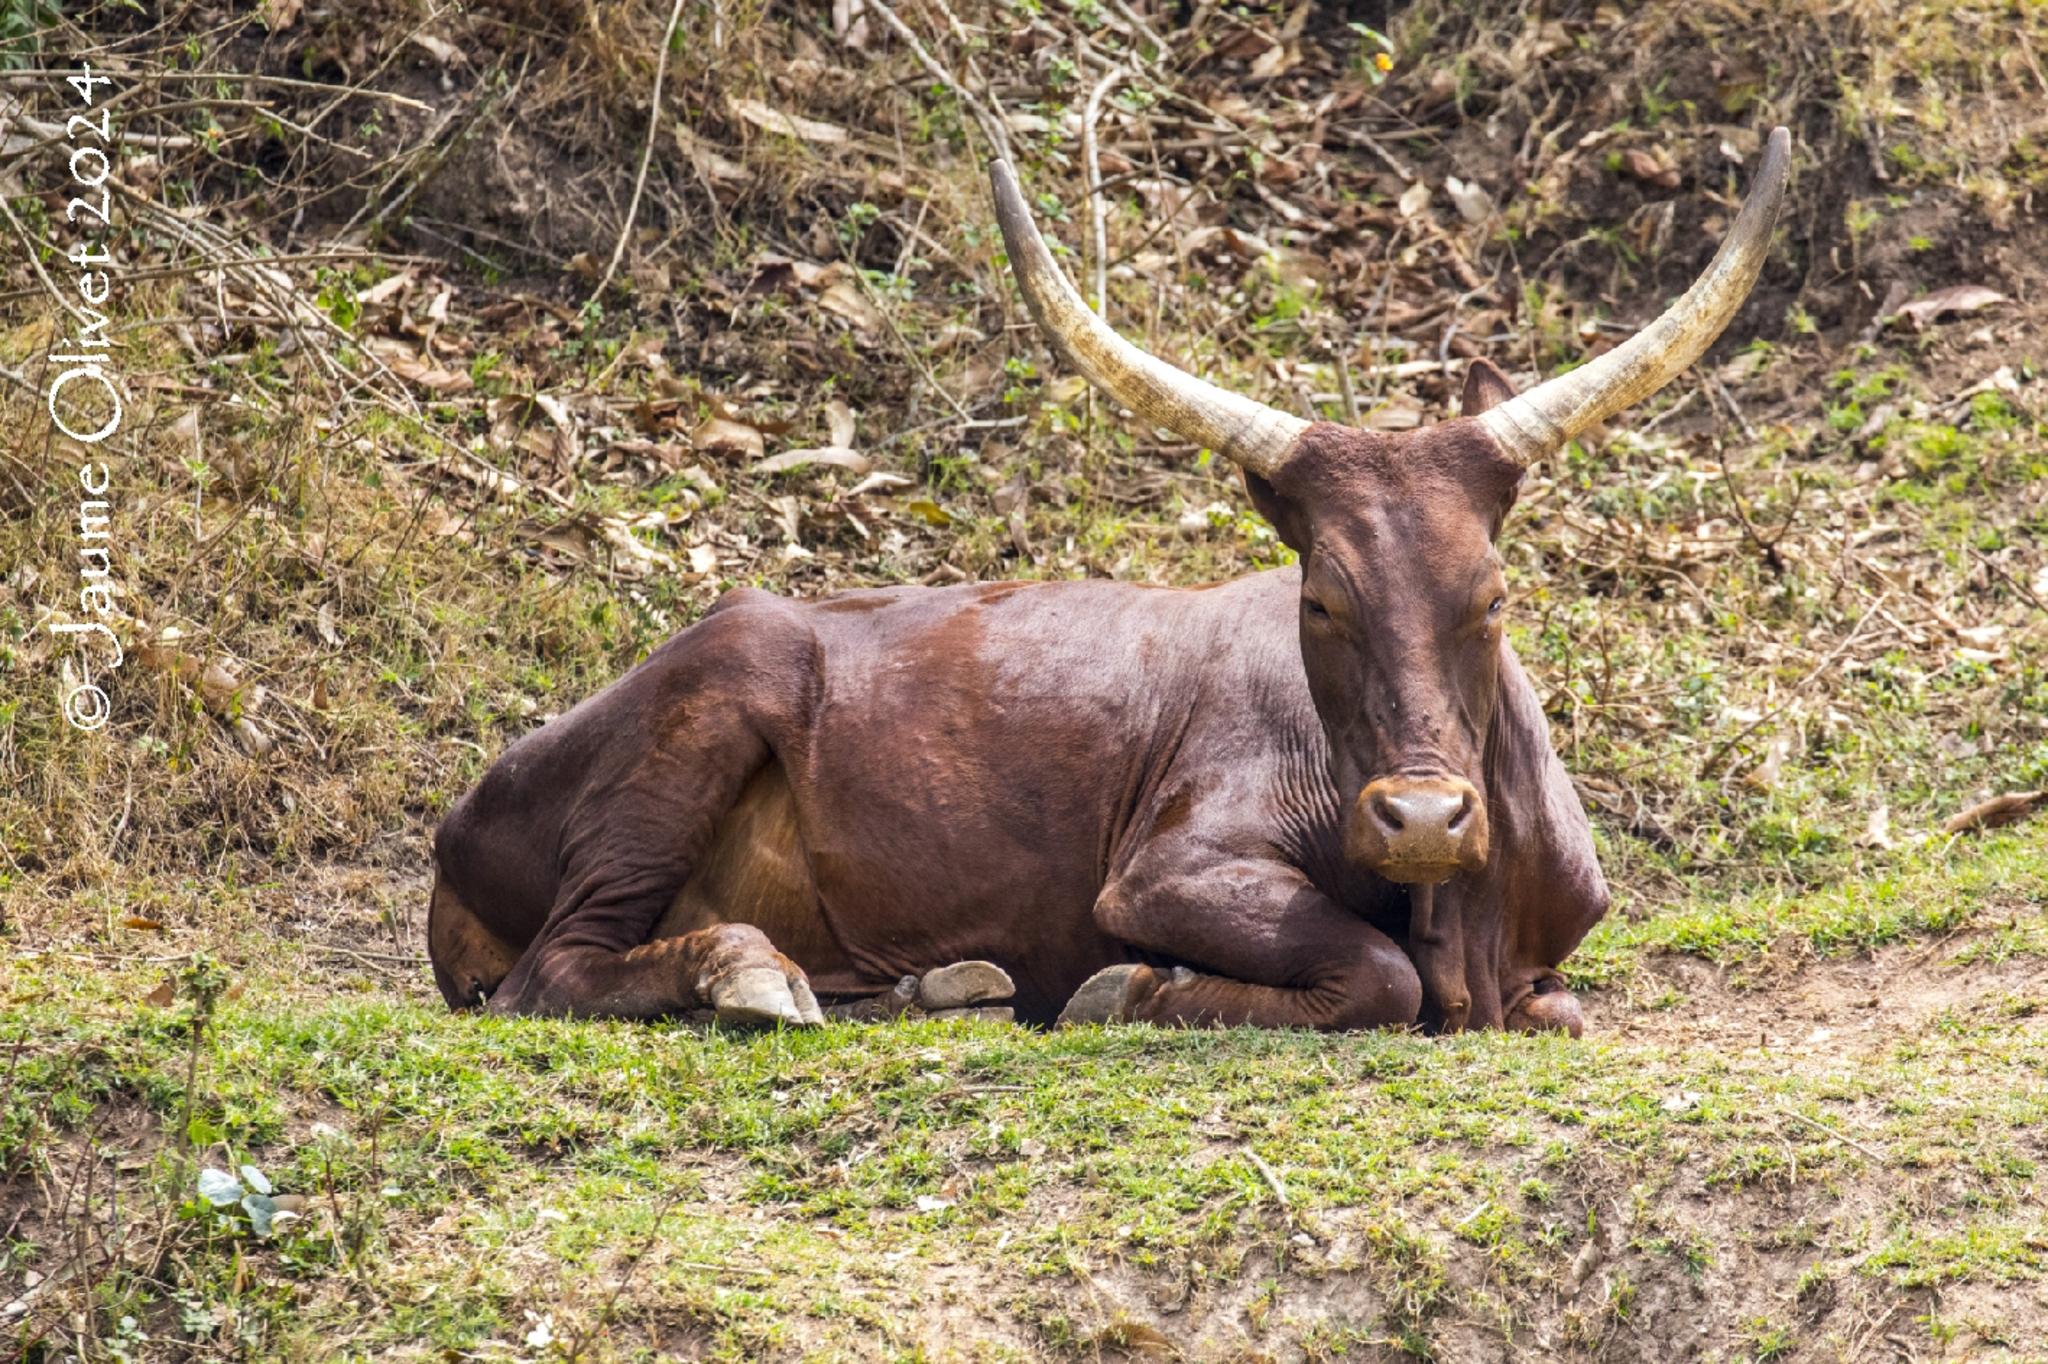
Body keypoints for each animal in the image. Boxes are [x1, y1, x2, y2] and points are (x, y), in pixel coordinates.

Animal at [432, 135, 1794, 1032]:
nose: (1419, 818)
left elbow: (1545, 1006)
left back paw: (935, 982)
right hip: (718, 685)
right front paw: (1125, 983)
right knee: (554, 970)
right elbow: (1373, 972)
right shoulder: (1165, 870)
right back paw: (749, 973)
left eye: (1494, 595)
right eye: (1318, 598)